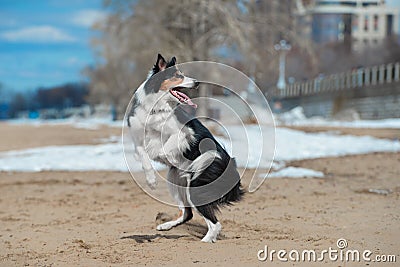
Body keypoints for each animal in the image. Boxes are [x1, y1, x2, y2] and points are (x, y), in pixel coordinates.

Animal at [127, 54, 244, 243]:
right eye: (178, 75)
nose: (197, 83)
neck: (157, 109)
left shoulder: (185, 133)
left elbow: (163, 147)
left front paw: (162, 156)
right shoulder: (138, 141)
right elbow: (144, 156)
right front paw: (151, 180)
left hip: (197, 185)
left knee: (215, 223)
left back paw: (204, 242)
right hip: (175, 181)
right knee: (188, 213)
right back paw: (166, 226)